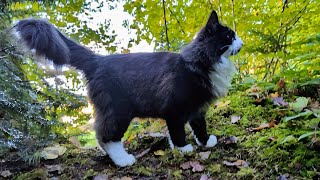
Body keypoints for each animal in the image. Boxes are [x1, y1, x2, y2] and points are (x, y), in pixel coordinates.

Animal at [12, 10, 242, 166]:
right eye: (229, 36)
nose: (241, 42)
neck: (201, 63)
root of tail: (98, 60)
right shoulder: (175, 109)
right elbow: (177, 131)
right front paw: (183, 148)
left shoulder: (197, 108)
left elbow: (199, 126)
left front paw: (205, 142)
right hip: (119, 111)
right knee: (107, 136)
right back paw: (123, 160)